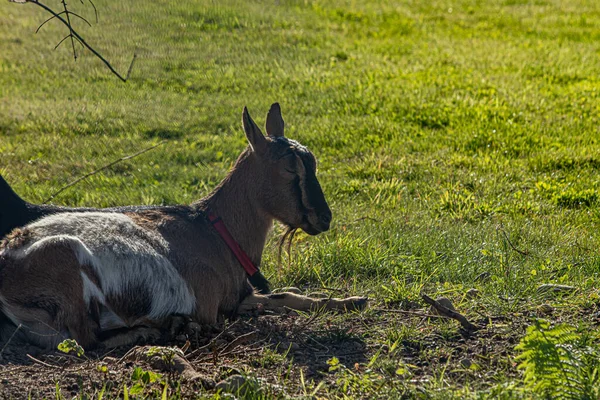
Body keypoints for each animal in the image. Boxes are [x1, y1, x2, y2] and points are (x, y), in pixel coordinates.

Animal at [0, 104, 366, 350]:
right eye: (290, 170)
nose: (324, 218)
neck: (216, 233)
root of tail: (7, 259)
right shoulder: (212, 307)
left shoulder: (240, 295)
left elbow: (285, 294)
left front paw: (354, 301)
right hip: (67, 256)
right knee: (85, 340)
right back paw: (159, 329)